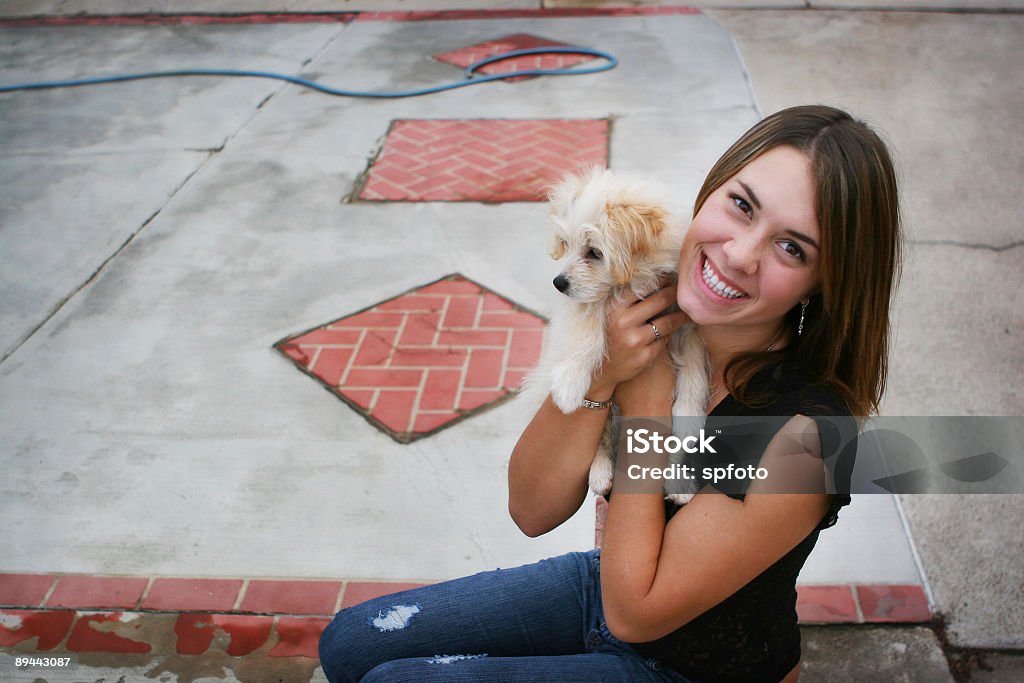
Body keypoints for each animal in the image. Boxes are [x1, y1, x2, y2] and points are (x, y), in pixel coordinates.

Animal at [524, 167, 708, 505]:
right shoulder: (587, 305)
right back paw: (600, 473)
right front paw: (570, 383)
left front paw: (689, 416)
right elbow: (588, 330)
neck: (632, 282)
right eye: (566, 244)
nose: (559, 283)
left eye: (594, 253)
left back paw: (677, 482)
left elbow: (693, 372)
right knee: (603, 433)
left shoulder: (686, 323)